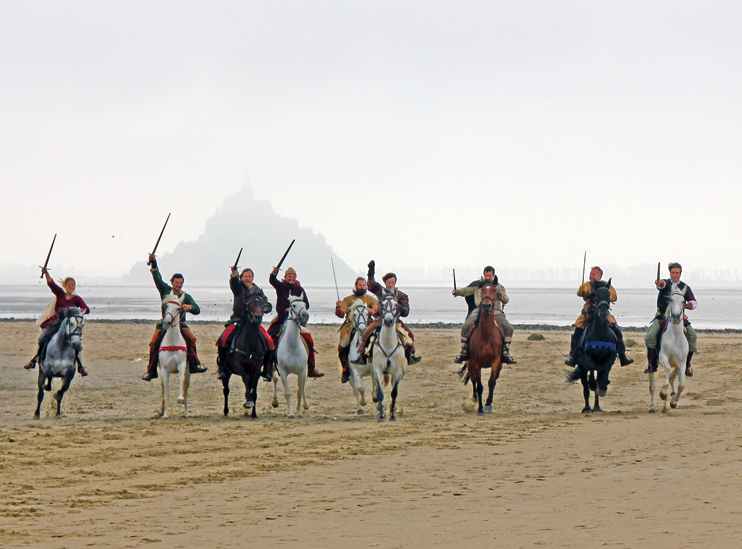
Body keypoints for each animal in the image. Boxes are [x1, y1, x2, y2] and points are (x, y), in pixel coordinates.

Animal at [370, 288, 406, 422]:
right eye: (383, 304)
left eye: (396, 305)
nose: (388, 320)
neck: (388, 345)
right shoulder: (377, 370)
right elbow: (380, 393)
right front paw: (381, 415)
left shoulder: (397, 372)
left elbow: (394, 393)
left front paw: (392, 415)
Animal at [462, 282, 508, 416]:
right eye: (482, 290)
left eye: (495, 291)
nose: (486, 305)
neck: (486, 335)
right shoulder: (475, 363)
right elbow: (479, 386)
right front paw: (480, 409)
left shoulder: (496, 362)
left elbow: (491, 382)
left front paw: (487, 405)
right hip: (471, 365)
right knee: (473, 381)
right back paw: (474, 399)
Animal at [568, 282, 620, 412]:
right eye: (596, 296)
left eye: (608, 296)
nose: (603, 312)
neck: (600, 334)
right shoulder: (588, 360)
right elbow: (591, 375)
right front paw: (593, 385)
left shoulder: (609, 358)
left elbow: (604, 375)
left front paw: (602, 387)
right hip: (581, 367)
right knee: (586, 388)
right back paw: (587, 407)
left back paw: (597, 407)